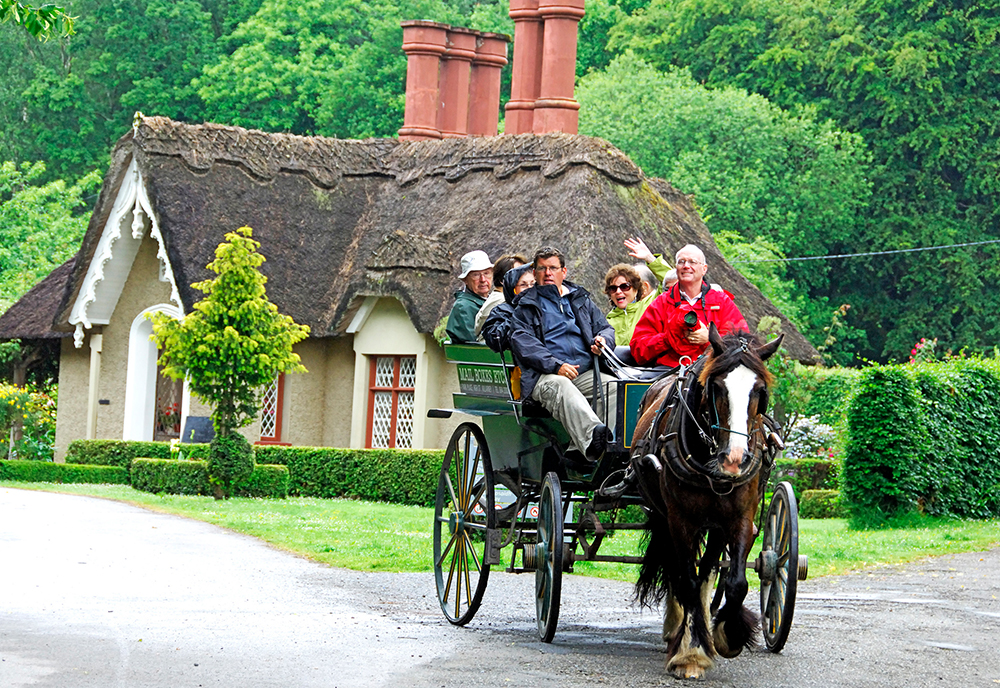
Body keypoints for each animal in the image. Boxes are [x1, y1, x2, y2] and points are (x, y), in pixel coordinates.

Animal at [632, 326, 780, 680]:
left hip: (714, 524)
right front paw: (690, 655)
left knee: (707, 569)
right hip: (665, 518)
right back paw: (678, 631)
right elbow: (685, 580)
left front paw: (728, 636)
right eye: (716, 387)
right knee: (677, 571)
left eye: (760, 391)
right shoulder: (679, 520)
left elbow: (735, 582)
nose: (735, 460)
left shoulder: (740, 519)